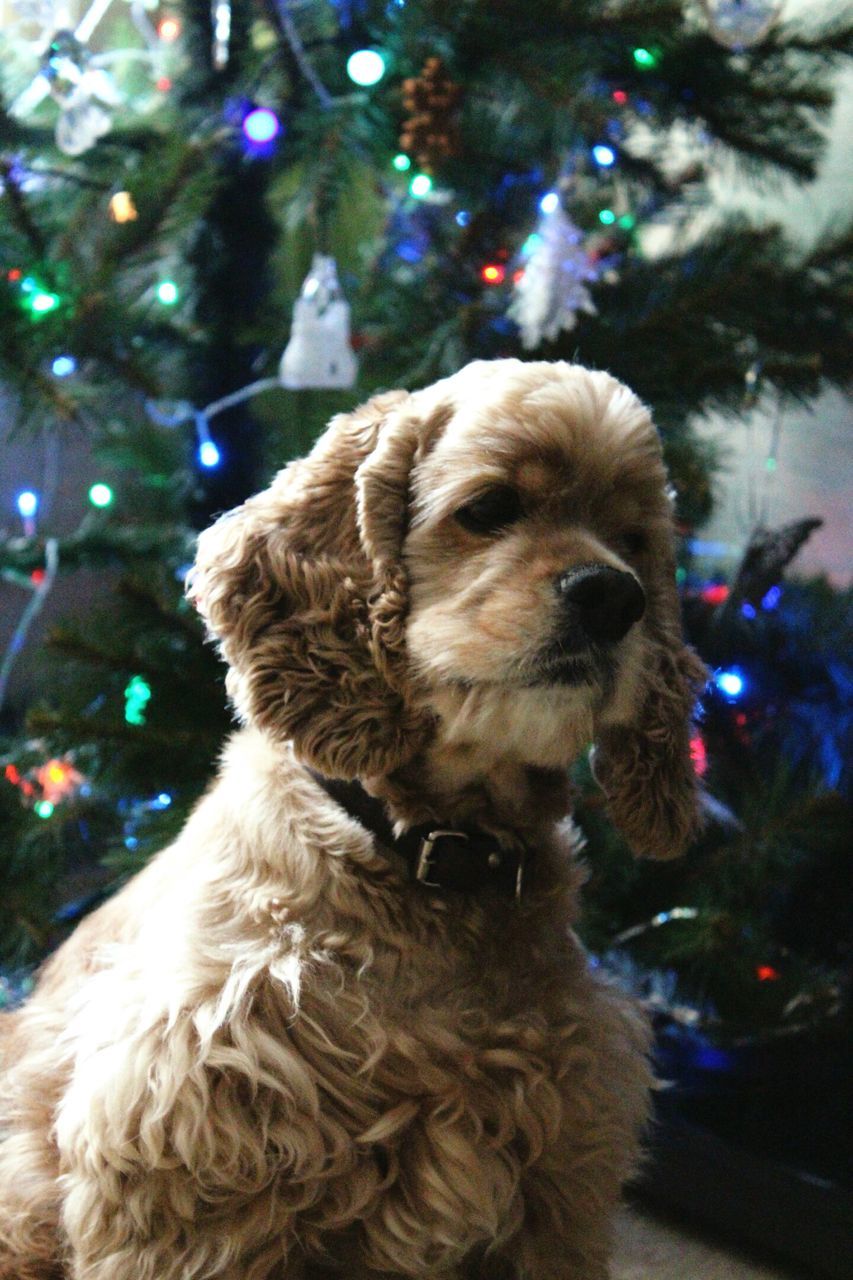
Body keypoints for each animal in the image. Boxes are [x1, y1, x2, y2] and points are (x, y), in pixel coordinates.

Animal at [0, 360, 701, 1280]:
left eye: (635, 542)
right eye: (489, 508)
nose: (614, 596)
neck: (433, 855)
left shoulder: (560, 1174)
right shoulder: (184, 1142)